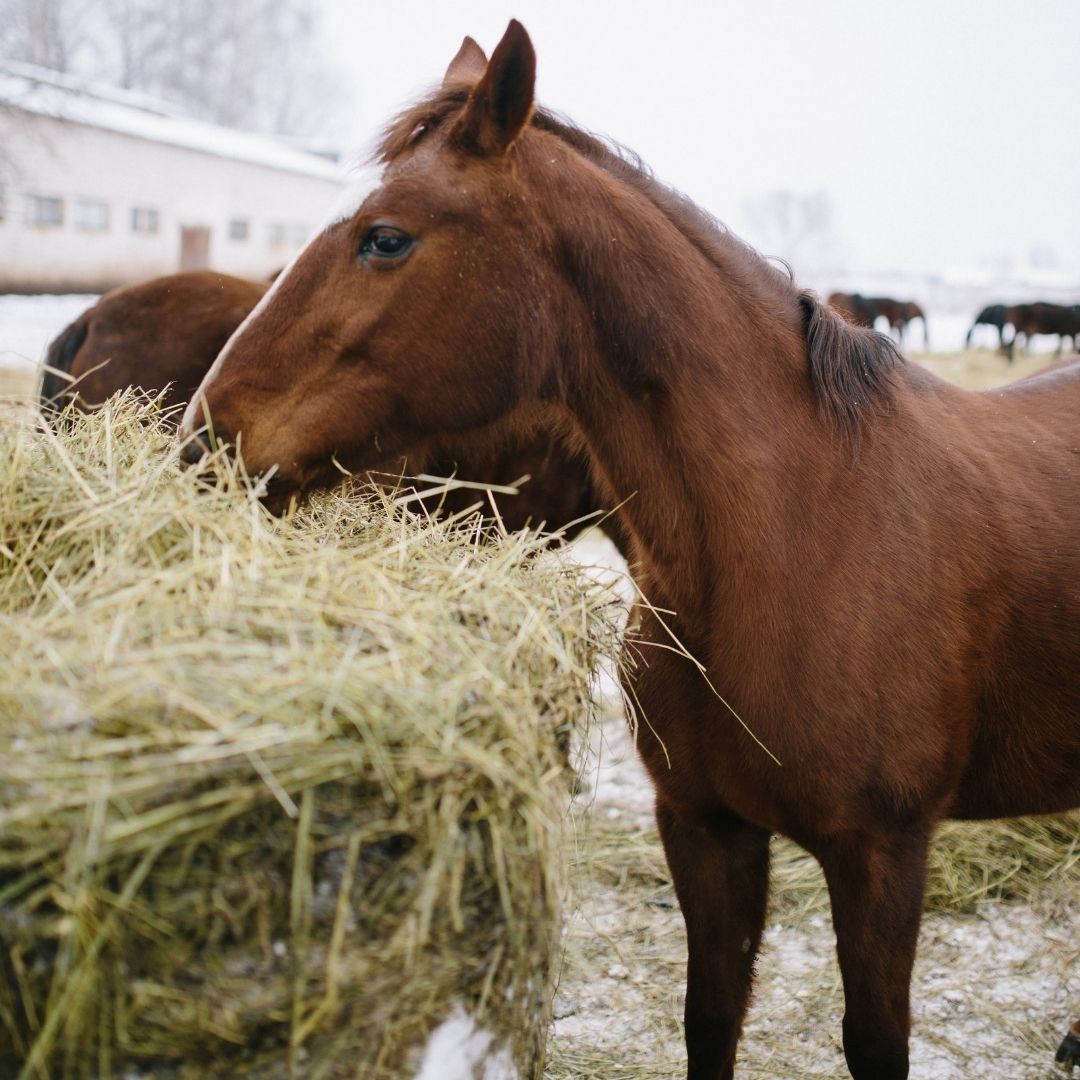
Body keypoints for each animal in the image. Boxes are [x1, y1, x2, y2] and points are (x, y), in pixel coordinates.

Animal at [177, 23, 1080, 1079]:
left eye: (385, 237)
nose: (203, 439)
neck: (797, 541)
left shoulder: (881, 858)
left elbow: (873, 1043)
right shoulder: (703, 829)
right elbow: (710, 1020)